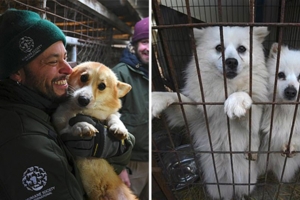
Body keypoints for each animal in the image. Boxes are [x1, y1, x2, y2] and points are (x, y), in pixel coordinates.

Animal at [52, 61, 137, 199]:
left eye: (102, 86)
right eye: (83, 77)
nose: (83, 99)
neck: (86, 112)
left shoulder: (110, 115)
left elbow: (113, 116)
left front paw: (119, 128)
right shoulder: (60, 129)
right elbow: (71, 125)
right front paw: (83, 126)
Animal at [152, 26, 270, 200]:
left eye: (242, 49)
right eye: (219, 48)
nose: (231, 61)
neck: (226, 87)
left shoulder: (254, 122)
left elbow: (246, 99)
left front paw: (237, 100)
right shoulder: (197, 113)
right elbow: (177, 98)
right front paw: (157, 98)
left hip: (245, 181)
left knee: (241, 191)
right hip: (217, 186)